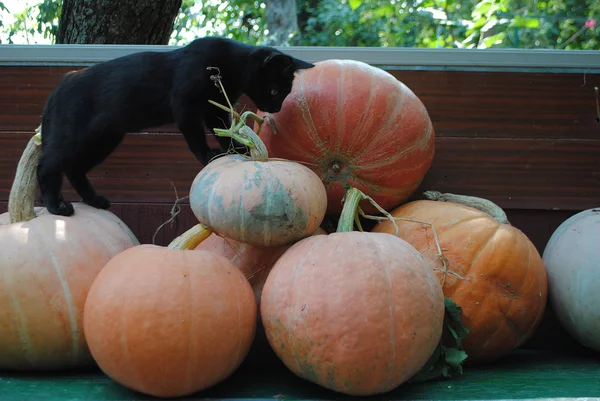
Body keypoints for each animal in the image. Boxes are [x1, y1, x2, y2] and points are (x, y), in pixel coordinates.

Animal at [38, 36, 314, 216]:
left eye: (285, 93)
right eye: (274, 90)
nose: (276, 108)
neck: (229, 66)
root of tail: (57, 89)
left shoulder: (214, 110)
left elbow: (222, 132)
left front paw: (238, 150)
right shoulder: (185, 104)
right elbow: (195, 137)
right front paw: (209, 156)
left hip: (104, 139)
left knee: (74, 168)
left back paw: (94, 200)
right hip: (77, 136)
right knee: (48, 164)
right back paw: (55, 205)